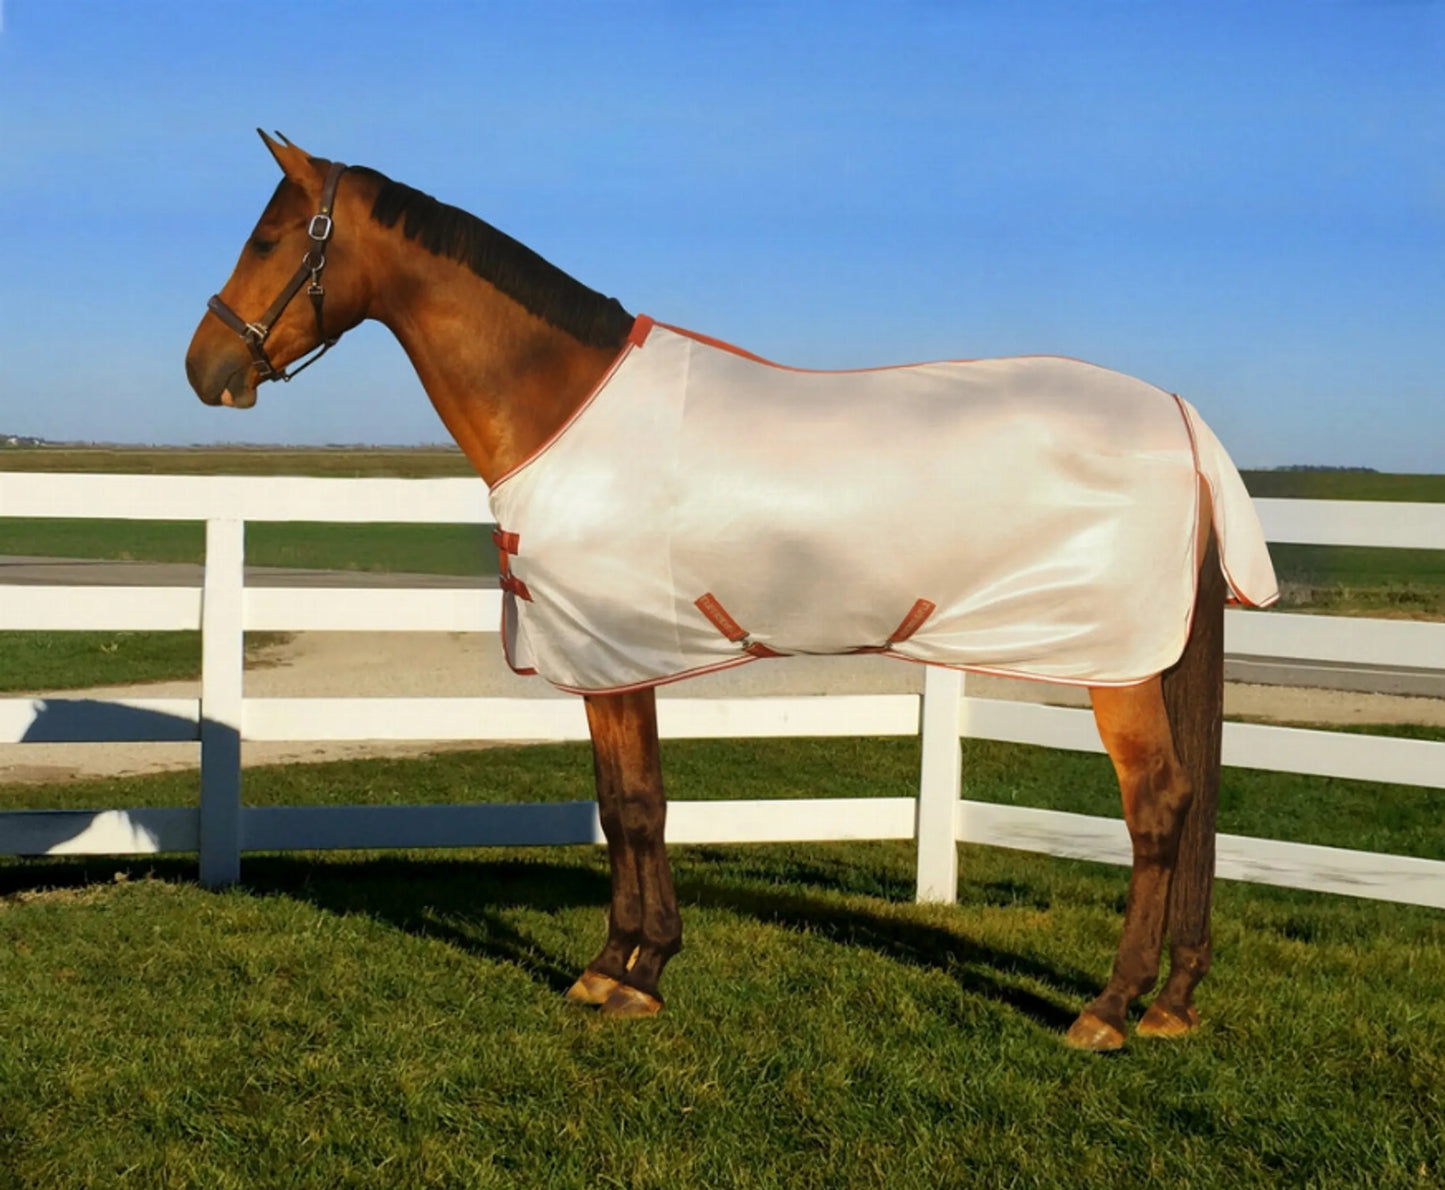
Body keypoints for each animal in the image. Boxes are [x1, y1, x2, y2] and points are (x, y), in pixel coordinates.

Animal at [185, 132, 1278, 1052]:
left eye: (271, 236)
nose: (206, 367)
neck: (561, 404)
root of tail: (1177, 417)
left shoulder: (613, 650)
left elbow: (634, 806)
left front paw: (634, 975)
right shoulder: (609, 663)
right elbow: (623, 800)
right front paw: (615, 963)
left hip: (1114, 666)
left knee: (1157, 809)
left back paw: (1106, 1007)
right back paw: (1171, 999)